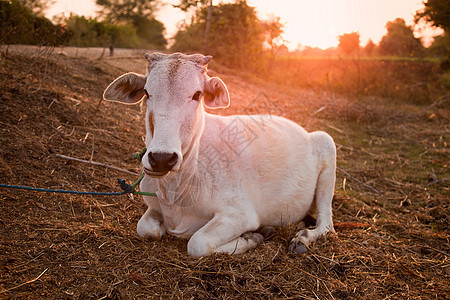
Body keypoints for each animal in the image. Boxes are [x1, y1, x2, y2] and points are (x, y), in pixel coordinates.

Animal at [102, 52, 334, 258]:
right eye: (147, 93)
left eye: (197, 95)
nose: (161, 158)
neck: (175, 192)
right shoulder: (153, 207)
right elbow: (146, 229)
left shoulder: (239, 214)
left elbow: (197, 243)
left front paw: (252, 237)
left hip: (327, 144)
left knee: (327, 224)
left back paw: (302, 238)